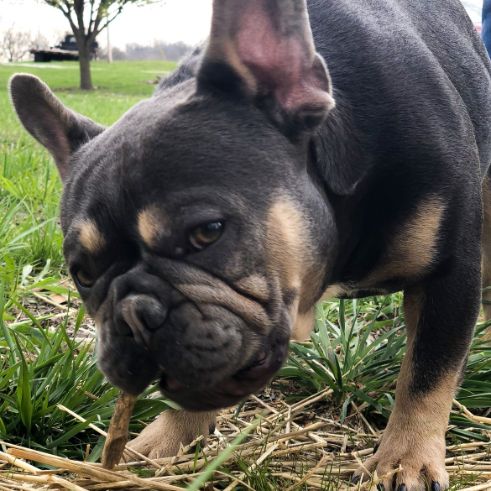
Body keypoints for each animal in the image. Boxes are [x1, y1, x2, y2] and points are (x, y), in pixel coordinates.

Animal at [8, 0, 491, 491]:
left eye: (208, 231)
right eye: (82, 274)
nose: (132, 314)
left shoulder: (451, 275)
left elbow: (427, 372)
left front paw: (406, 459)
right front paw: (167, 437)